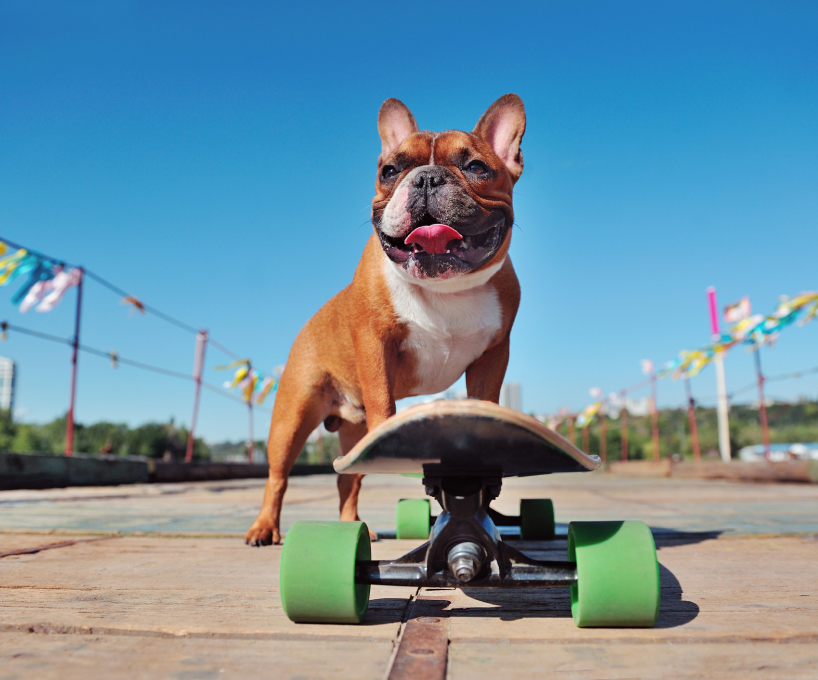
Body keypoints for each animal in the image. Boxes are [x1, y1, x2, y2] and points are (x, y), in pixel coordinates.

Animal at [244, 94, 524, 548]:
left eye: (476, 167)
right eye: (390, 171)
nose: (427, 178)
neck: (444, 289)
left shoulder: (494, 354)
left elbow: (484, 400)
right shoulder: (375, 343)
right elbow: (382, 398)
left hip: (348, 434)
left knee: (349, 478)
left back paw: (353, 526)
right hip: (291, 416)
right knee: (278, 475)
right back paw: (264, 528)